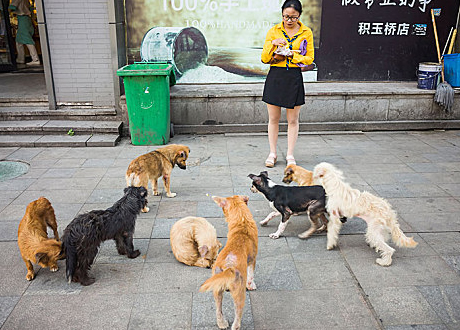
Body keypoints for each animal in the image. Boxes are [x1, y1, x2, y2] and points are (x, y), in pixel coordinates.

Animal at [199, 196, 258, 330]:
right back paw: (235, 326)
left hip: (216, 289)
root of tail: (227, 267)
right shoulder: (252, 259)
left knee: (218, 309)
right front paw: (251, 285)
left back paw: (222, 323)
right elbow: (251, 274)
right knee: (238, 313)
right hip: (239, 293)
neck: (242, 221)